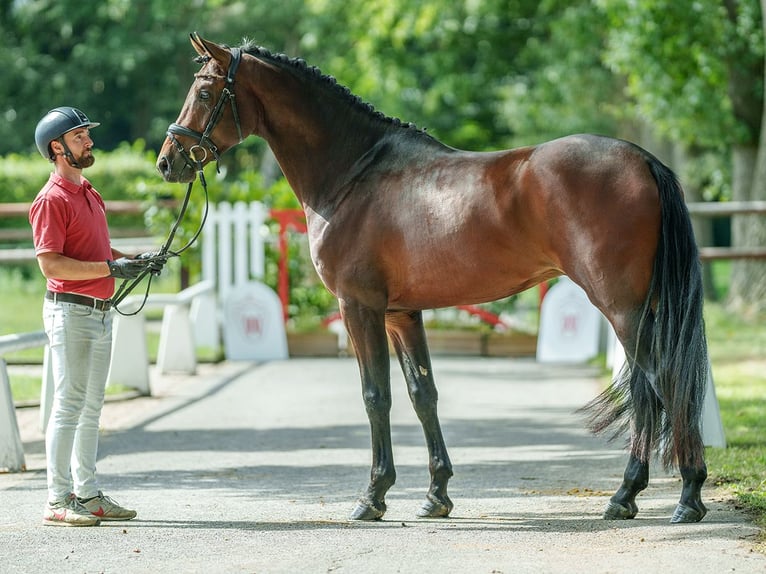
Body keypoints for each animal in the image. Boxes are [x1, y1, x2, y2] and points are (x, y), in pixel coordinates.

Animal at [158, 33, 712, 524]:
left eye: (204, 92)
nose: (168, 161)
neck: (354, 173)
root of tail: (644, 160)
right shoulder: (402, 314)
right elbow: (422, 395)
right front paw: (436, 496)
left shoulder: (358, 307)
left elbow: (375, 396)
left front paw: (372, 497)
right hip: (640, 310)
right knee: (654, 389)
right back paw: (639, 496)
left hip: (622, 309)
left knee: (662, 383)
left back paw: (676, 496)